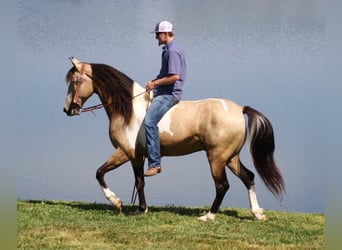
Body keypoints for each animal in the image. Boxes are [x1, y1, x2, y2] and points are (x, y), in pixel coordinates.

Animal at [63, 56, 284, 221]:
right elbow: (140, 181)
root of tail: (239, 109)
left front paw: (116, 202)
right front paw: (141, 209)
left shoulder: (125, 152)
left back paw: (209, 216)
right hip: (230, 158)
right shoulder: (137, 156)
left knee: (222, 186)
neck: (129, 110)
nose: (67, 109)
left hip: (217, 158)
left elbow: (100, 173)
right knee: (249, 177)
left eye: (75, 82)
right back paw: (257, 213)